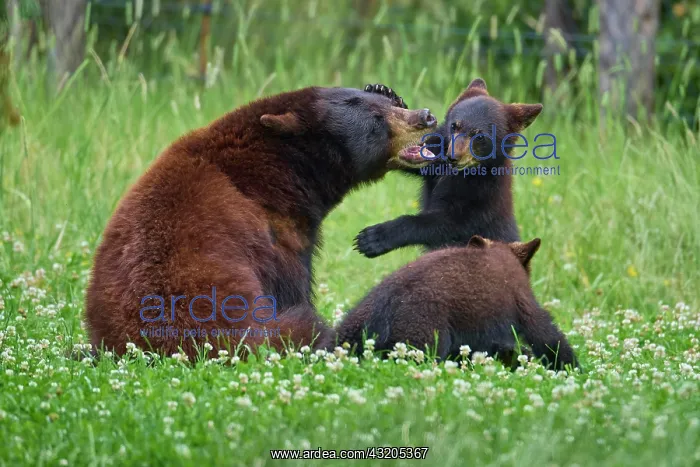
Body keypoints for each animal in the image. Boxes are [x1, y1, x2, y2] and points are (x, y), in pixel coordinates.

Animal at [85, 85, 438, 359]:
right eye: (376, 122)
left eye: (386, 107)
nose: (426, 116)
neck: (270, 175)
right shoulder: (279, 238)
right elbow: (293, 287)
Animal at [354, 78, 543, 257]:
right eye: (454, 126)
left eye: (479, 136)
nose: (453, 157)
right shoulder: (439, 158)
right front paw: (383, 91)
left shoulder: (481, 200)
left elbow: (446, 225)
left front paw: (374, 238)